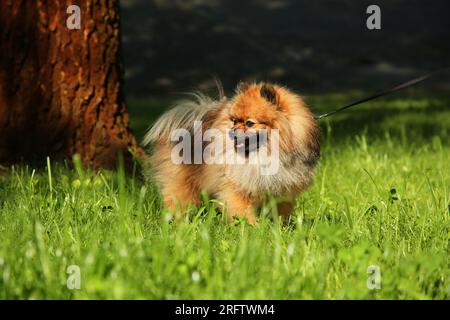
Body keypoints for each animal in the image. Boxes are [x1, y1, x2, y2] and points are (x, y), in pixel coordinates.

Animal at [144, 81, 320, 224]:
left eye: (249, 123)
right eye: (234, 120)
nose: (233, 130)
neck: (265, 154)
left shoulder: (282, 188)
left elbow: (280, 211)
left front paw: (280, 227)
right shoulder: (237, 186)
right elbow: (241, 209)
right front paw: (251, 228)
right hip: (182, 181)